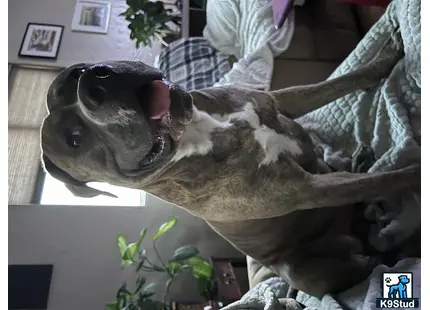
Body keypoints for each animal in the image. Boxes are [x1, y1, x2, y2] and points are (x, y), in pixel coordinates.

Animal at [40, 37, 420, 298]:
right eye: (75, 140)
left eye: (74, 74)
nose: (93, 83)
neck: (198, 131)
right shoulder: (303, 190)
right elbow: (384, 180)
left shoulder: (281, 100)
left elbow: (339, 83)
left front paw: (386, 57)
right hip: (301, 269)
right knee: (371, 251)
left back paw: (361, 164)